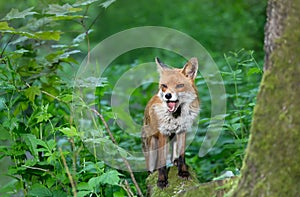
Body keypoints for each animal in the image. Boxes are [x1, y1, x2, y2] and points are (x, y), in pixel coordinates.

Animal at [142, 57, 200, 188]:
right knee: (150, 168)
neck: (176, 116)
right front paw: (162, 180)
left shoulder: (182, 130)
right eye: (164, 85)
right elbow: (162, 161)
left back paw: (175, 162)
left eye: (179, 85)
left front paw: (183, 172)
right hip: (151, 145)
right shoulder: (162, 133)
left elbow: (182, 156)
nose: (168, 95)